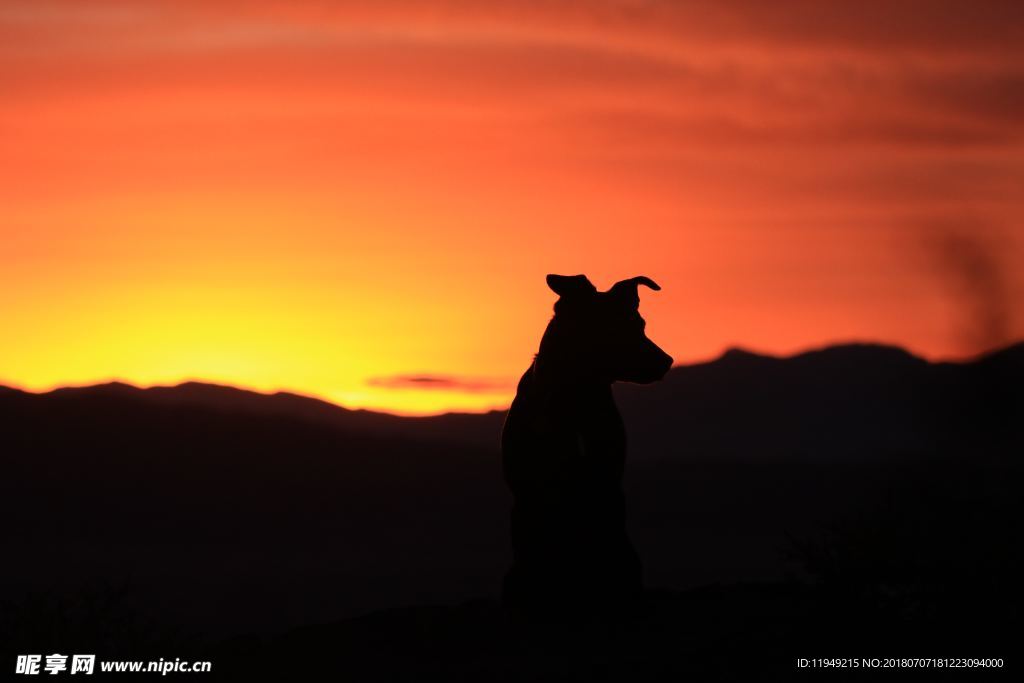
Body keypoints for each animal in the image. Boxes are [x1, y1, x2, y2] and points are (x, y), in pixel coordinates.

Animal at [501, 274, 671, 618]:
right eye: (612, 327)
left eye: (640, 323)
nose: (667, 362)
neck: (575, 397)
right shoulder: (530, 492)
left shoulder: (606, 482)